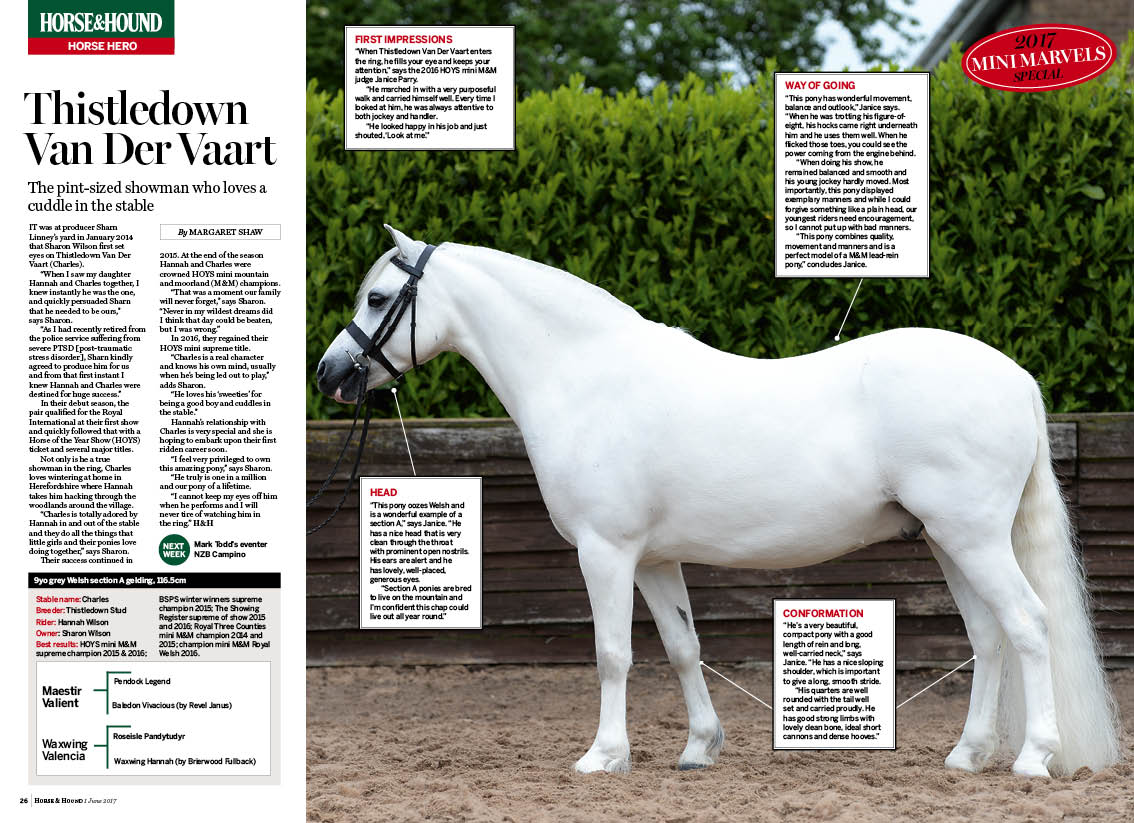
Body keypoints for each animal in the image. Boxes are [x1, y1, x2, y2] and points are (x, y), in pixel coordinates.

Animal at [315, 225, 1120, 778]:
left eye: (378, 298)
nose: (329, 373)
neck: (586, 376)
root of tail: (1014, 375)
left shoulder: (605, 552)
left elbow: (612, 653)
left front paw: (603, 756)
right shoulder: (652, 558)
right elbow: (682, 648)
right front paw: (700, 747)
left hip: (973, 537)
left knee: (1027, 625)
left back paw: (1032, 757)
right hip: (946, 539)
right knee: (989, 636)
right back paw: (967, 754)